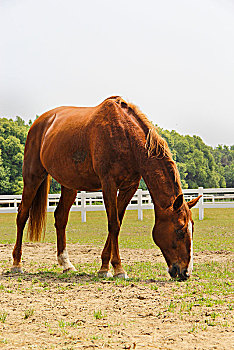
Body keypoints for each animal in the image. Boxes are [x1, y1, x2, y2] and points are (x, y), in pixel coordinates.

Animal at [11, 97, 201, 280]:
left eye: (192, 228)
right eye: (179, 229)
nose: (185, 272)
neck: (126, 136)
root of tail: (40, 122)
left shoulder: (128, 188)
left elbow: (117, 222)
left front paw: (104, 266)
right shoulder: (108, 184)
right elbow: (113, 224)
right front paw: (118, 268)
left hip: (69, 185)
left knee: (60, 218)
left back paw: (66, 264)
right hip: (32, 177)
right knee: (22, 215)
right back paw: (16, 263)